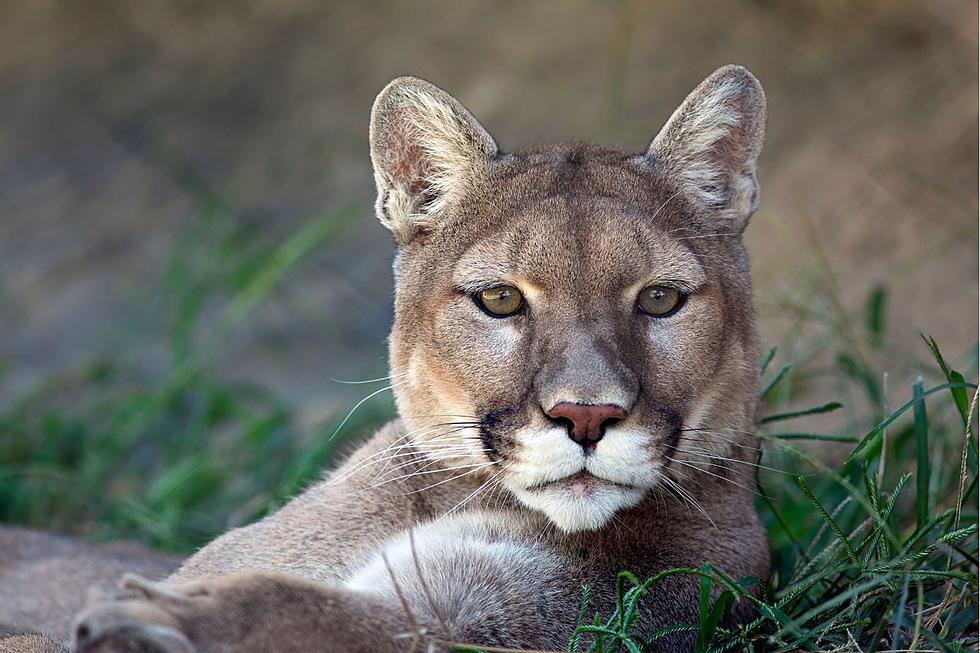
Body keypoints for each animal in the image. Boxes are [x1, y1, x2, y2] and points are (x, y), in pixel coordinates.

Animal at [5, 65, 772, 652]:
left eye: (661, 299)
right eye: (500, 299)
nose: (587, 415)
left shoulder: (514, 616)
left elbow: (321, 615)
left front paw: (154, 620)